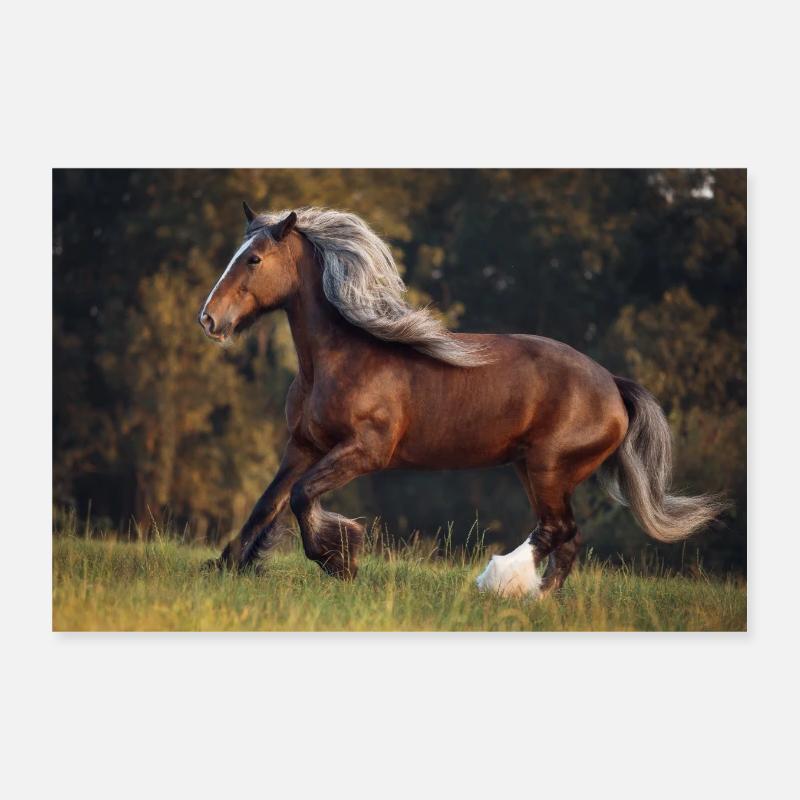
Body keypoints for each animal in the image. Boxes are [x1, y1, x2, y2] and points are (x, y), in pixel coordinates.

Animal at [198, 203, 726, 597]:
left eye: (254, 260)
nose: (208, 319)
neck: (338, 359)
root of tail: (613, 385)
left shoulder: (365, 452)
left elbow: (303, 497)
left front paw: (340, 558)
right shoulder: (303, 446)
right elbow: (268, 503)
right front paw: (226, 566)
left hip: (550, 469)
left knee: (556, 531)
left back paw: (498, 583)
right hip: (534, 469)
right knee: (567, 537)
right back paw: (538, 599)